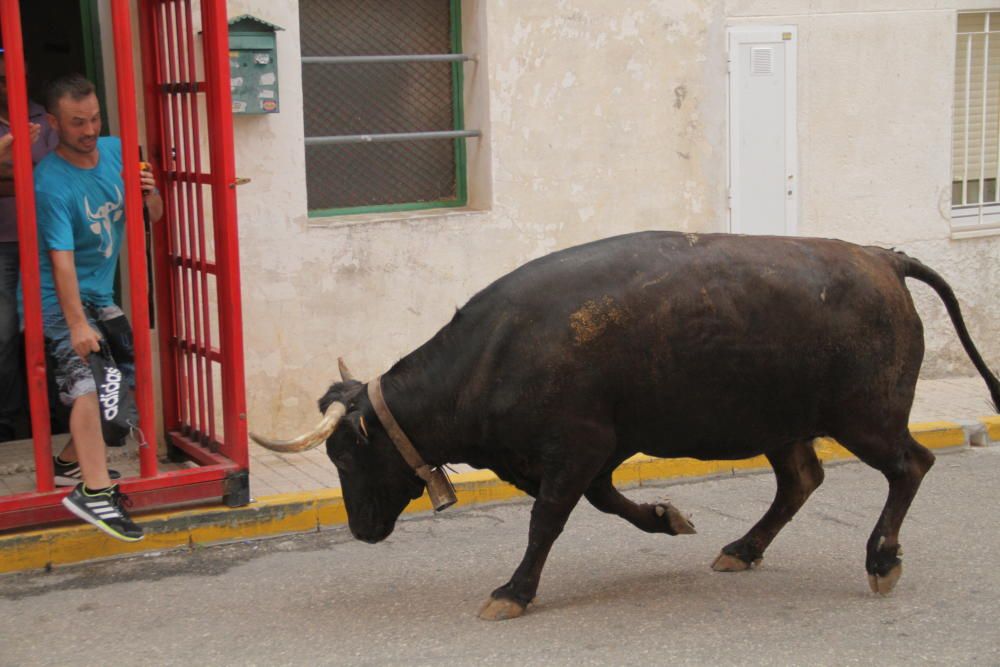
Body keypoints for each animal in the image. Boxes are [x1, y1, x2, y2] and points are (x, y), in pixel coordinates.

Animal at [252, 234, 1000, 620]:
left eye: (345, 454)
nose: (359, 529)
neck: (495, 353)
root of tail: (880, 256)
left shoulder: (576, 447)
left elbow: (546, 521)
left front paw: (512, 591)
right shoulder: (592, 453)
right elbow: (608, 503)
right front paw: (669, 518)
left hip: (866, 415)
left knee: (910, 466)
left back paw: (881, 559)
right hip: (783, 422)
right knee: (800, 479)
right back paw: (742, 548)